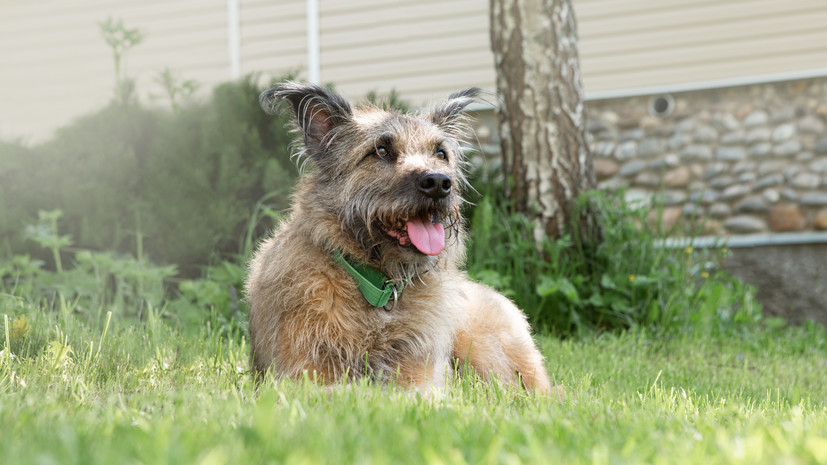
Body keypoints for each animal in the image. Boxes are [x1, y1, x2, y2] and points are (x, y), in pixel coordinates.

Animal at [247, 80, 556, 396]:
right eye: (381, 150)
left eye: (440, 154)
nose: (439, 183)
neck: (377, 286)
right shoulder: (302, 375)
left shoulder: (420, 375)